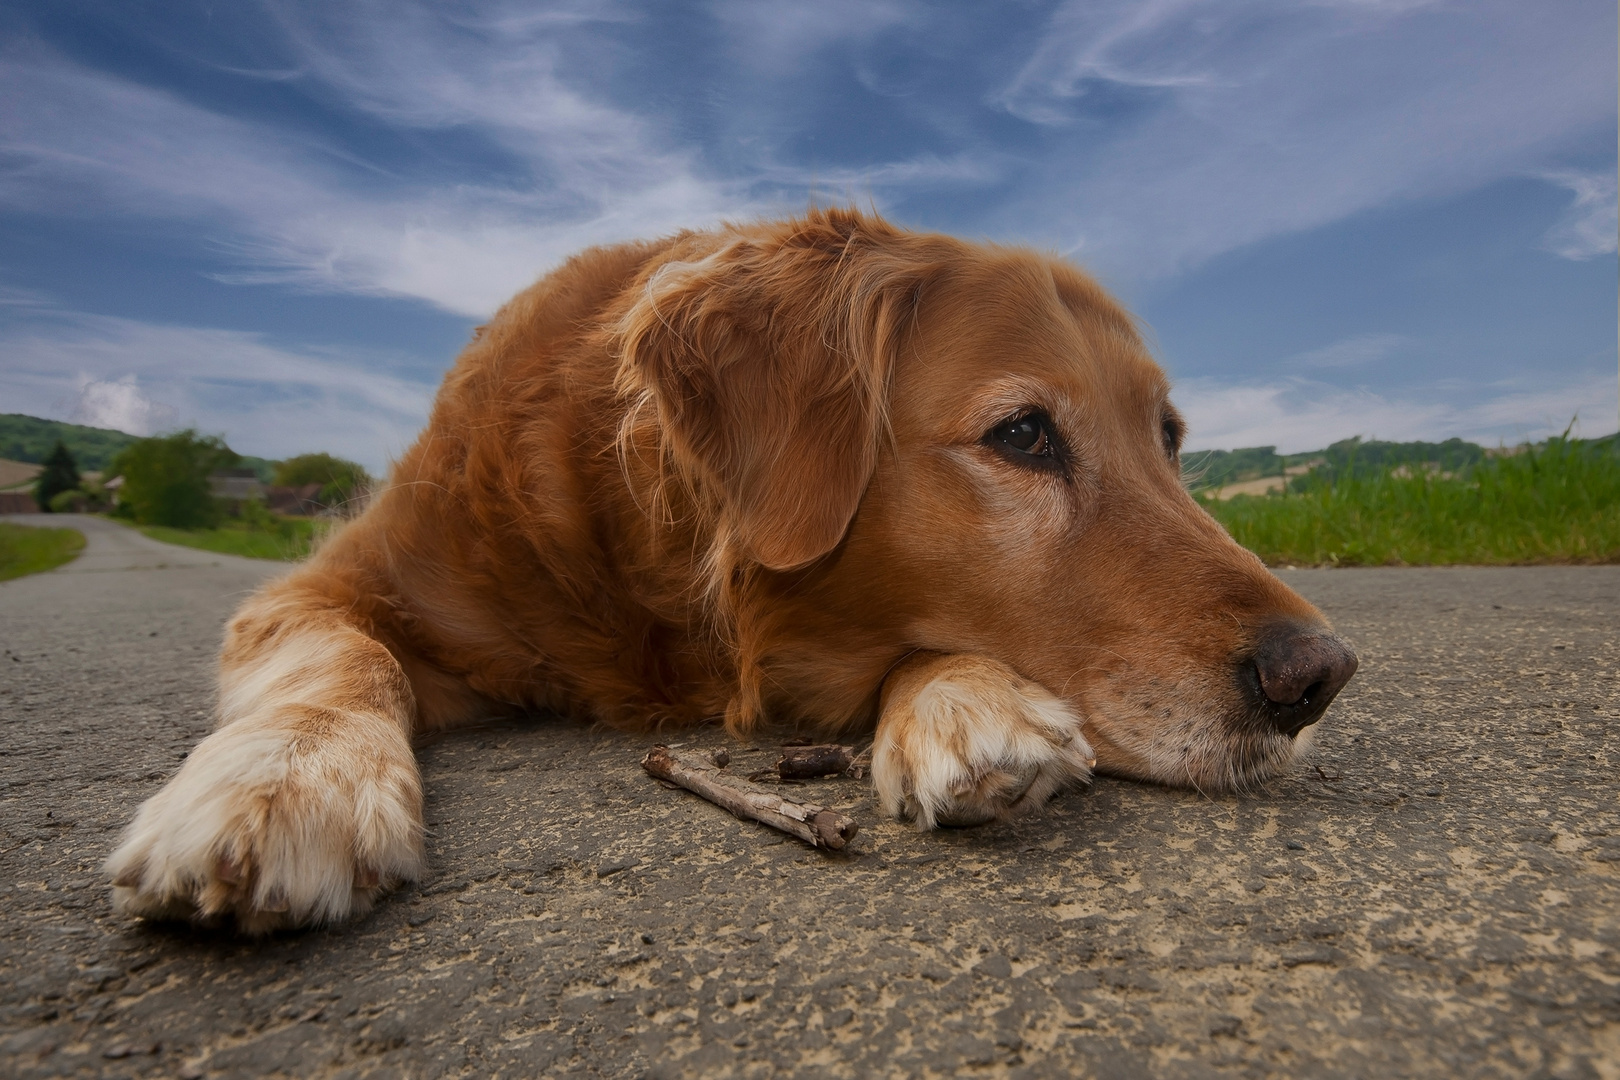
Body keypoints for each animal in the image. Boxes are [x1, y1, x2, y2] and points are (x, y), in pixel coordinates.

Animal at [107, 208, 1360, 932]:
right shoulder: (319, 587)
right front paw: (288, 781)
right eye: (1023, 435)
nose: (1320, 676)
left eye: (1171, 439)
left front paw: (966, 699)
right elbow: (345, 657)